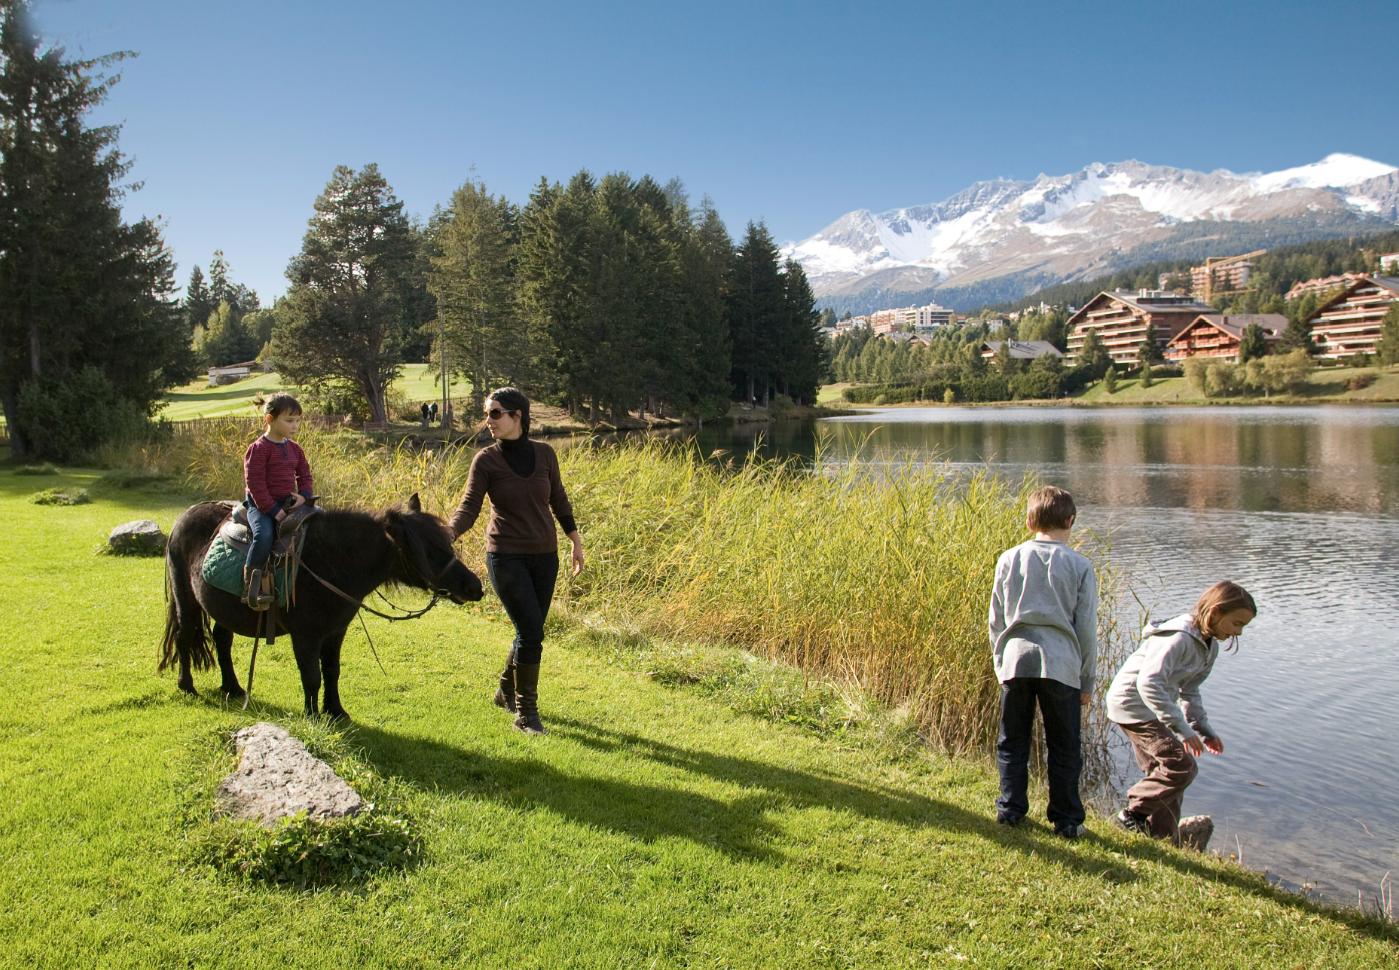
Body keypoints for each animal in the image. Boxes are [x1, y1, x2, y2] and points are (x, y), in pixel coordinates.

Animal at [160, 493, 483, 720]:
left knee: (221, 639)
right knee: (185, 636)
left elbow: (331, 670)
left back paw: (233, 687)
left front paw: (336, 711)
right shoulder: (306, 636)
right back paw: (187, 685)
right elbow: (311, 676)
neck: (330, 563)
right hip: (185, 599)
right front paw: (313, 715)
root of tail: (185, 517)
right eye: (431, 551)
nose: (475, 587)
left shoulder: (335, 632)